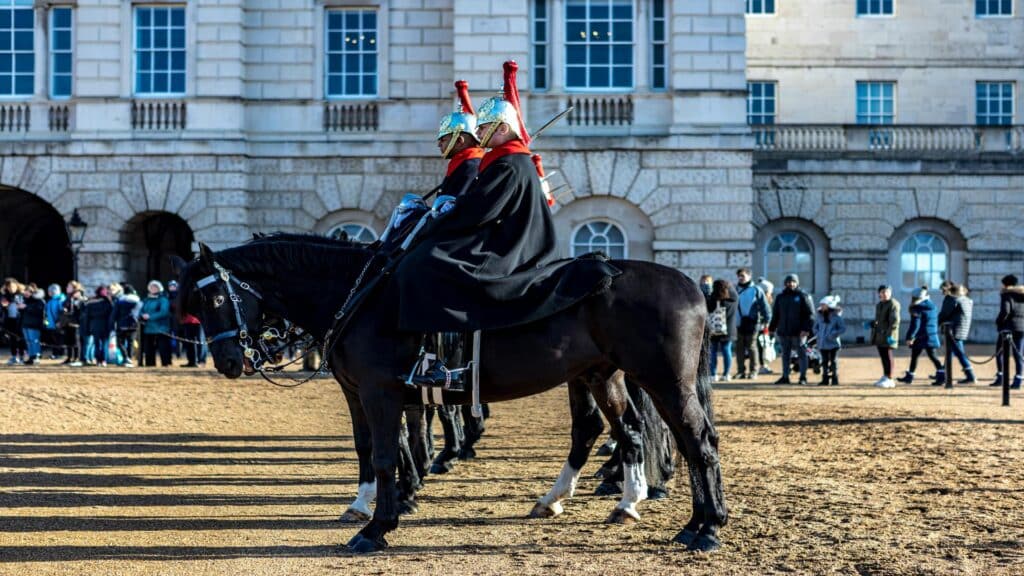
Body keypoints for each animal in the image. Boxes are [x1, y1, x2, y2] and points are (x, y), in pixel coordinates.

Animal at [176, 234, 724, 553]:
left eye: (216, 296)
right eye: (197, 302)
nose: (228, 363)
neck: (360, 295)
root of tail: (689, 284)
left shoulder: (381, 393)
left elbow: (386, 453)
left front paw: (380, 525)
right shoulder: (359, 393)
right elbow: (367, 450)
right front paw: (369, 504)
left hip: (662, 381)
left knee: (694, 441)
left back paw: (706, 526)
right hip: (601, 375)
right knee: (627, 430)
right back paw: (627, 504)